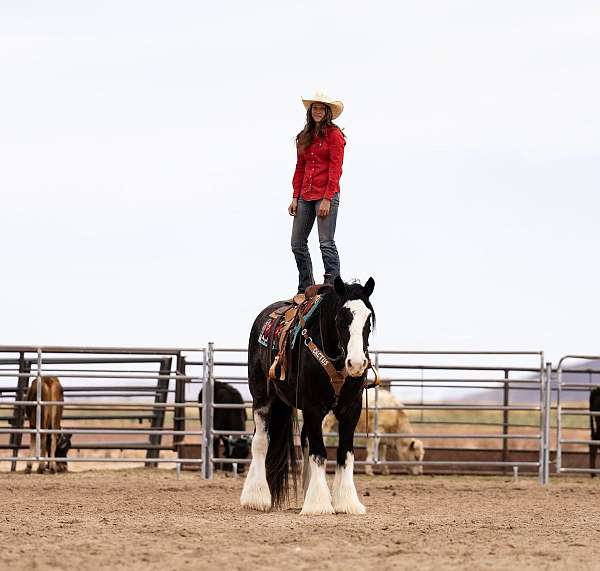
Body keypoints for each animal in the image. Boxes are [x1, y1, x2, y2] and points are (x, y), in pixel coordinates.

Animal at [240, 274, 376, 516]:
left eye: (368, 317)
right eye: (342, 315)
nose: (357, 363)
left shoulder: (351, 408)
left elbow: (344, 453)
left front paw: (346, 502)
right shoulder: (313, 407)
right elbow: (319, 452)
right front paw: (320, 505)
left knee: (303, 442)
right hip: (262, 398)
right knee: (260, 442)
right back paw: (256, 497)